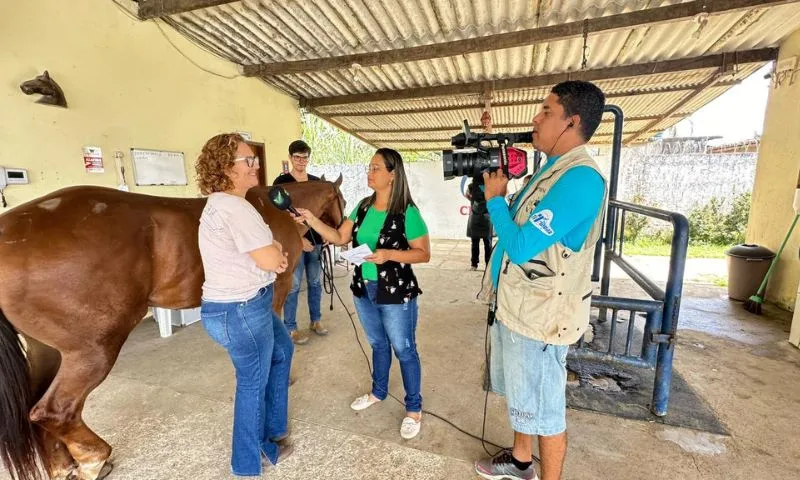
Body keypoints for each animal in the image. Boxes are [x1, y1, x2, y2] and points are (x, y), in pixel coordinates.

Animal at [0, 178, 340, 478]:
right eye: (341, 199)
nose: (336, 235)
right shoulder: (276, 288)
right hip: (93, 350)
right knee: (54, 412)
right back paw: (94, 459)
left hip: (49, 351)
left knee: (35, 412)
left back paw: (65, 466)